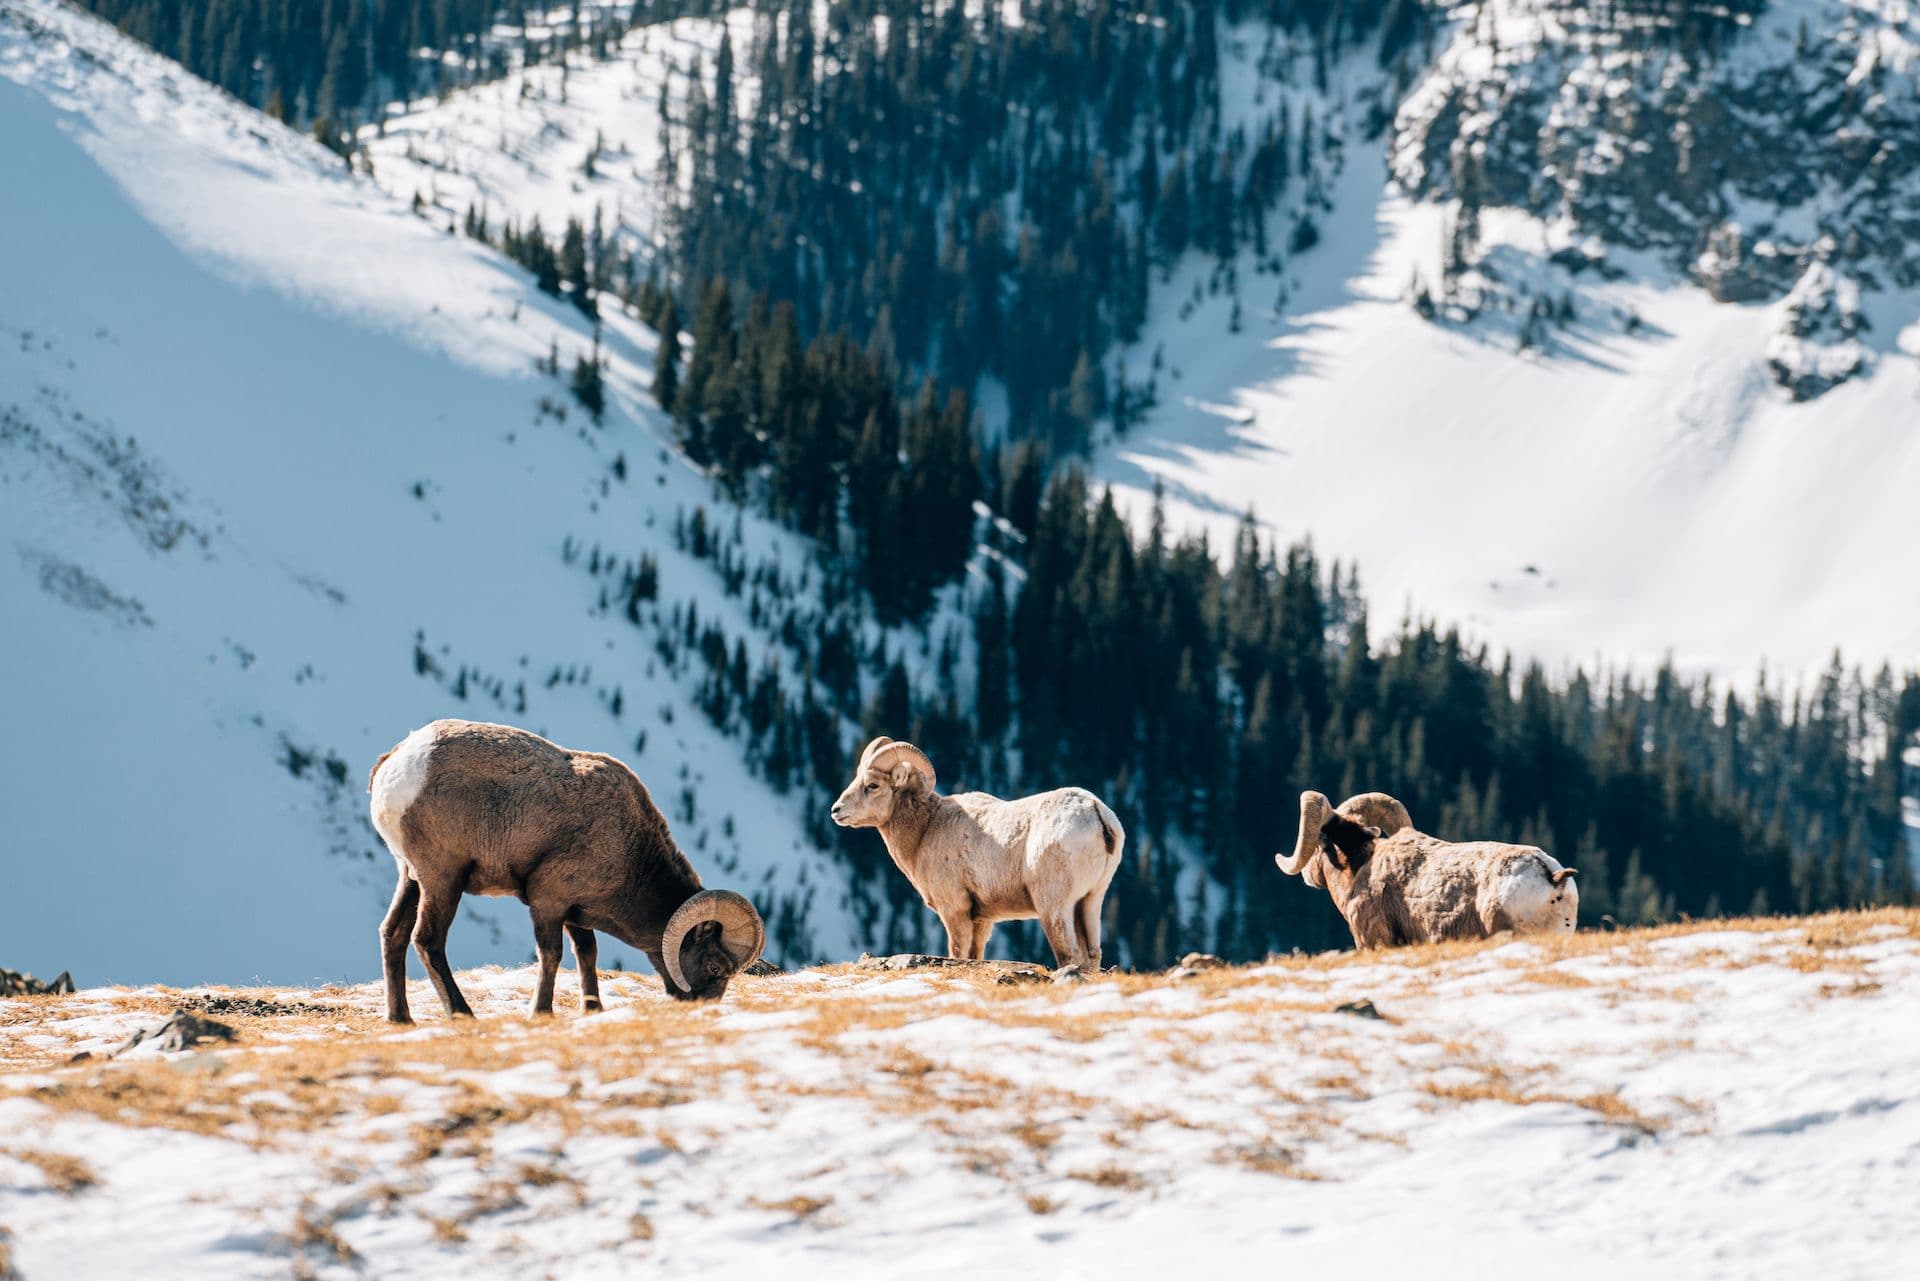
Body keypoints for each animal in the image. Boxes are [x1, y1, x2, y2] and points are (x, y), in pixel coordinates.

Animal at [366, 722, 764, 1021]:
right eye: (714, 967)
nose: (700, 1008)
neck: (630, 848)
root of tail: (392, 767)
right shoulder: (548, 901)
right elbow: (552, 955)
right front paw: (540, 1012)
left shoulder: (575, 913)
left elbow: (587, 955)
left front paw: (593, 1010)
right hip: (442, 880)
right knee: (428, 941)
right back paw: (462, 1014)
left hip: (411, 877)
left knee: (393, 934)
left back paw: (400, 1018)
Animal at [829, 741, 1121, 971]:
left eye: (872, 785)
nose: (836, 810)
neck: (926, 829)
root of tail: (1095, 812)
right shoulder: (982, 918)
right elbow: (975, 955)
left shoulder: (955, 909)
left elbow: (958, 953)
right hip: (1090, 901)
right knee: (1092, 955)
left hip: (1054, 906)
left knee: (1068, 955)